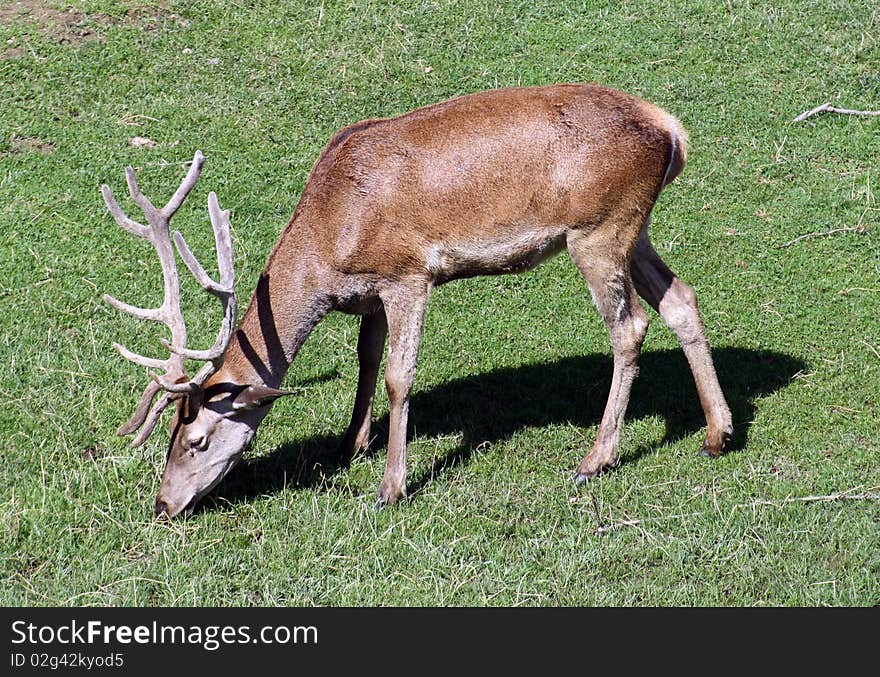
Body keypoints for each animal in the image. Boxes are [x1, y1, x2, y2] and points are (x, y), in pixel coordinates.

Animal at [101, 84, 736, 516]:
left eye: (197, 439)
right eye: (167, 438)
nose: (162, 504)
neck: (333, 237)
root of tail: (671, 130)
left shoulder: (409, 273)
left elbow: (398, 376)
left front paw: (390, 487)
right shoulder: (371, 293)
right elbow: (365, 359)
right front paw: (350, 445)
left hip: (598, 229)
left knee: (629, 327)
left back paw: (595, 459)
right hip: (634, 229)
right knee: (681, 298)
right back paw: (717, 433)